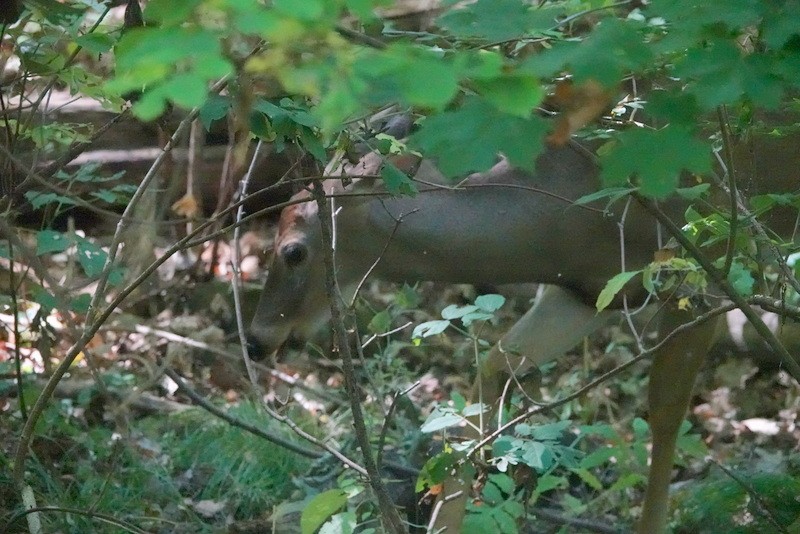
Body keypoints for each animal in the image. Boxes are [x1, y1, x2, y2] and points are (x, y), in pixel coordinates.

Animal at [247, 126, 800, 532]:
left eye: (292, 251)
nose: (255, 339)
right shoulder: (586, 293)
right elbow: (493, 368)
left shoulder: (705, 277)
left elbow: (665, 416)